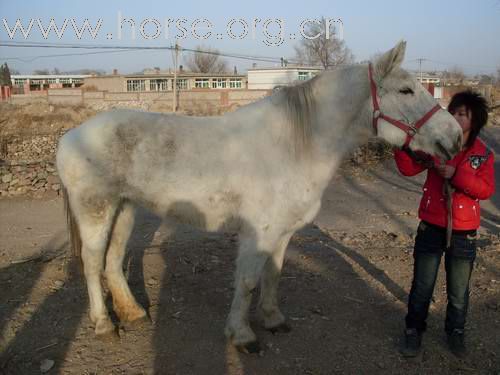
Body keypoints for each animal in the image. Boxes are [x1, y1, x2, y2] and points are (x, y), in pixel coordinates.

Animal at [56, 41, 462, 352]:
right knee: (93, 263)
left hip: (124, 208)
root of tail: (71, 136)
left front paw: (272, 318)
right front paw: (242, 336)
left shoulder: (281, 233)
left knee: (112, 261)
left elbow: (273, 275)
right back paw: (104, 324)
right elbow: (249, 281)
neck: (294, 146)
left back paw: (133, 313)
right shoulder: (258, 232)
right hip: (95, 210)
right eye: (406, 90)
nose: (456, 136)